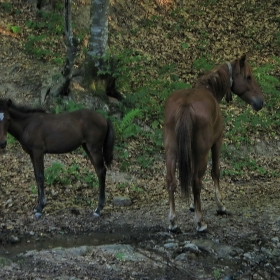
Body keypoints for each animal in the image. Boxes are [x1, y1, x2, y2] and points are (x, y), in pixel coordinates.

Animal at [163, 54, 264, 232]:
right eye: (248, 77)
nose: (261, 102)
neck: (209, 89)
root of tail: (185, 104)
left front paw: (192, 205)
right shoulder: (217, 143)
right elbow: (215, 172)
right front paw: (220, 205)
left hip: (172, 151)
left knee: (171, 181)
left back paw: (173, 222)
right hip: (202, 153)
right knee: (196, 181)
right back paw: (200, 222)